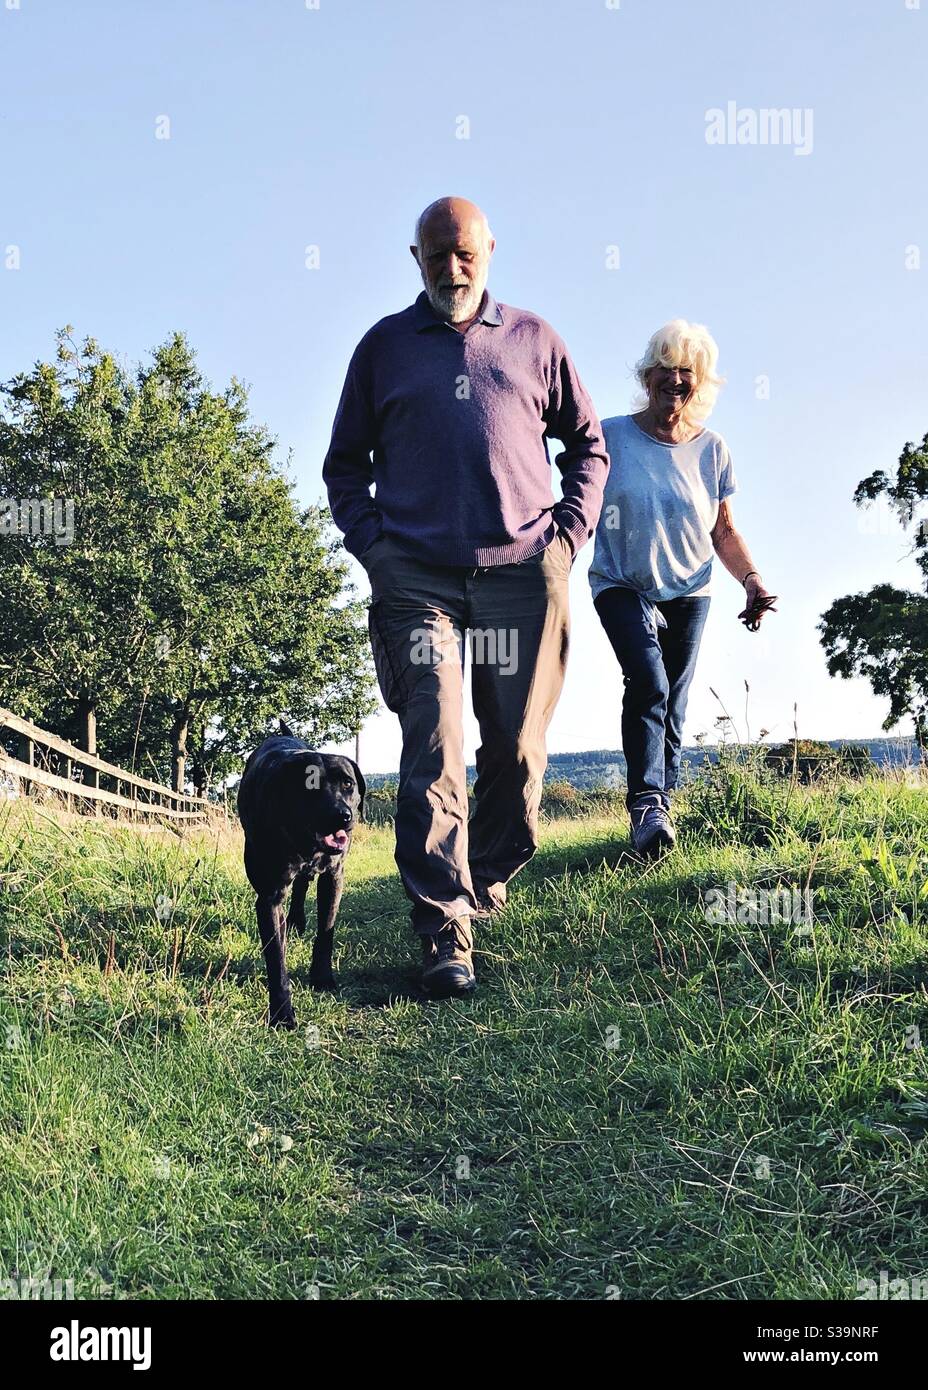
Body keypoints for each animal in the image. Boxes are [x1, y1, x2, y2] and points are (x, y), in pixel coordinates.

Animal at [237, 722, 363, 1028]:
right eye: (310, 785)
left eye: (348, 784)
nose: (342, 815)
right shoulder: (269, 898)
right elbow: (276, 958)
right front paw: (282, 1013)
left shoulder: (333, 878)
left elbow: (326, 931)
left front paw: (322, 977)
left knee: (302, 887)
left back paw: (296, 919)